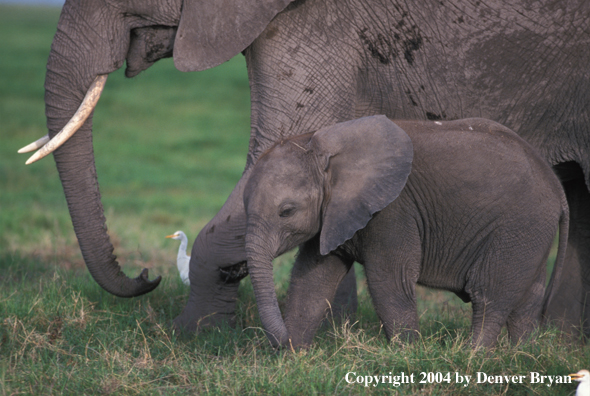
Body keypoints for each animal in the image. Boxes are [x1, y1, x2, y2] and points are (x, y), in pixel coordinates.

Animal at [245, 115, 568, 350]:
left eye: (286, 211)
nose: (280, 342)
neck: (319, 148)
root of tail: (556, 186)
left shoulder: (392, 211)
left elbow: (389, 280)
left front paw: (407, 356)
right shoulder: (335, 215)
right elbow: (312, 280)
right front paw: (293, 359)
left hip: (518, 226)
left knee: (489, 294)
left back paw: (473, 356)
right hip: (532, 232)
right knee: (527, 300)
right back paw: (520, 356)